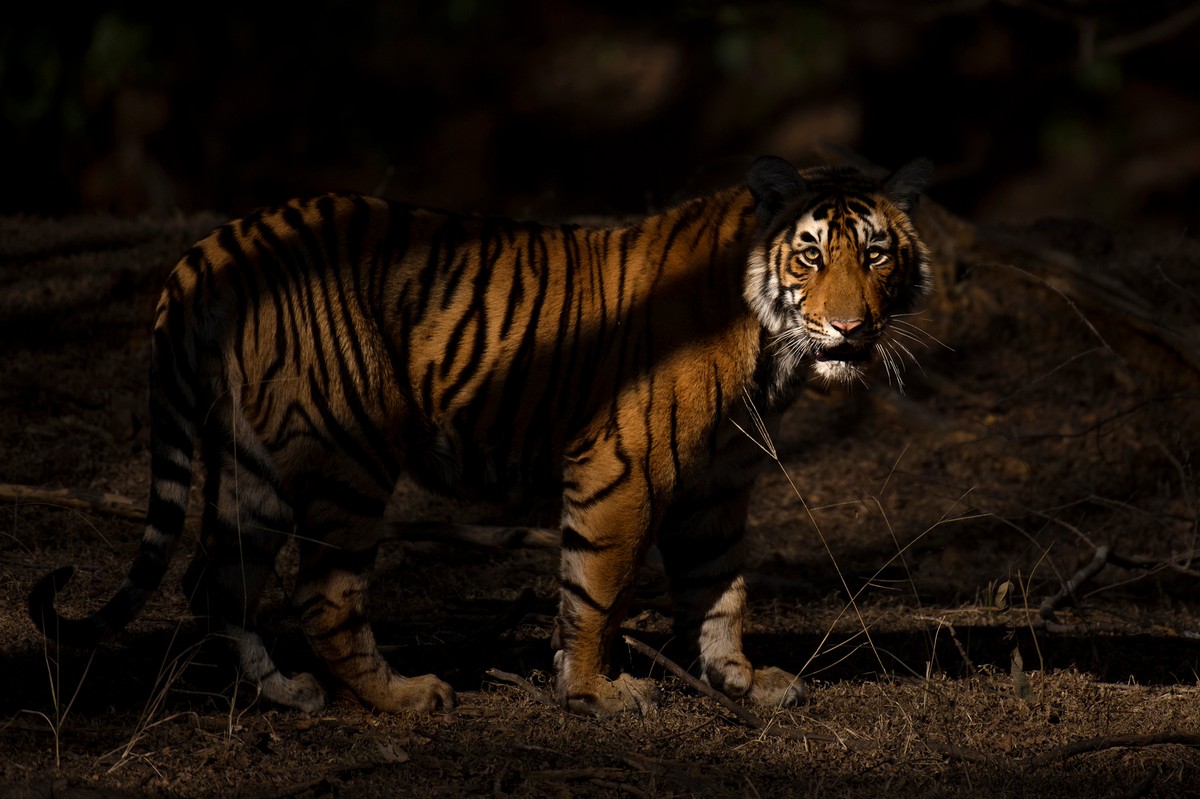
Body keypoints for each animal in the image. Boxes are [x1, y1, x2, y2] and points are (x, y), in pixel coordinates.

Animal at [25, 155, 926, 715]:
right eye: (810, 257)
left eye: (877, 256)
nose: (851, 328)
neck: (772, 356)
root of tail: (216, 243)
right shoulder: (622, 468)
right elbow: (595, 590)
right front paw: (595, 692)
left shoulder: (717, 487)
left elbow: (720, 590)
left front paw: (740, 678)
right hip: (348, 450)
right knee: (321, 594)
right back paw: (404, 697)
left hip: (257, 460)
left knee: (216, 576)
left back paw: (283, 692)